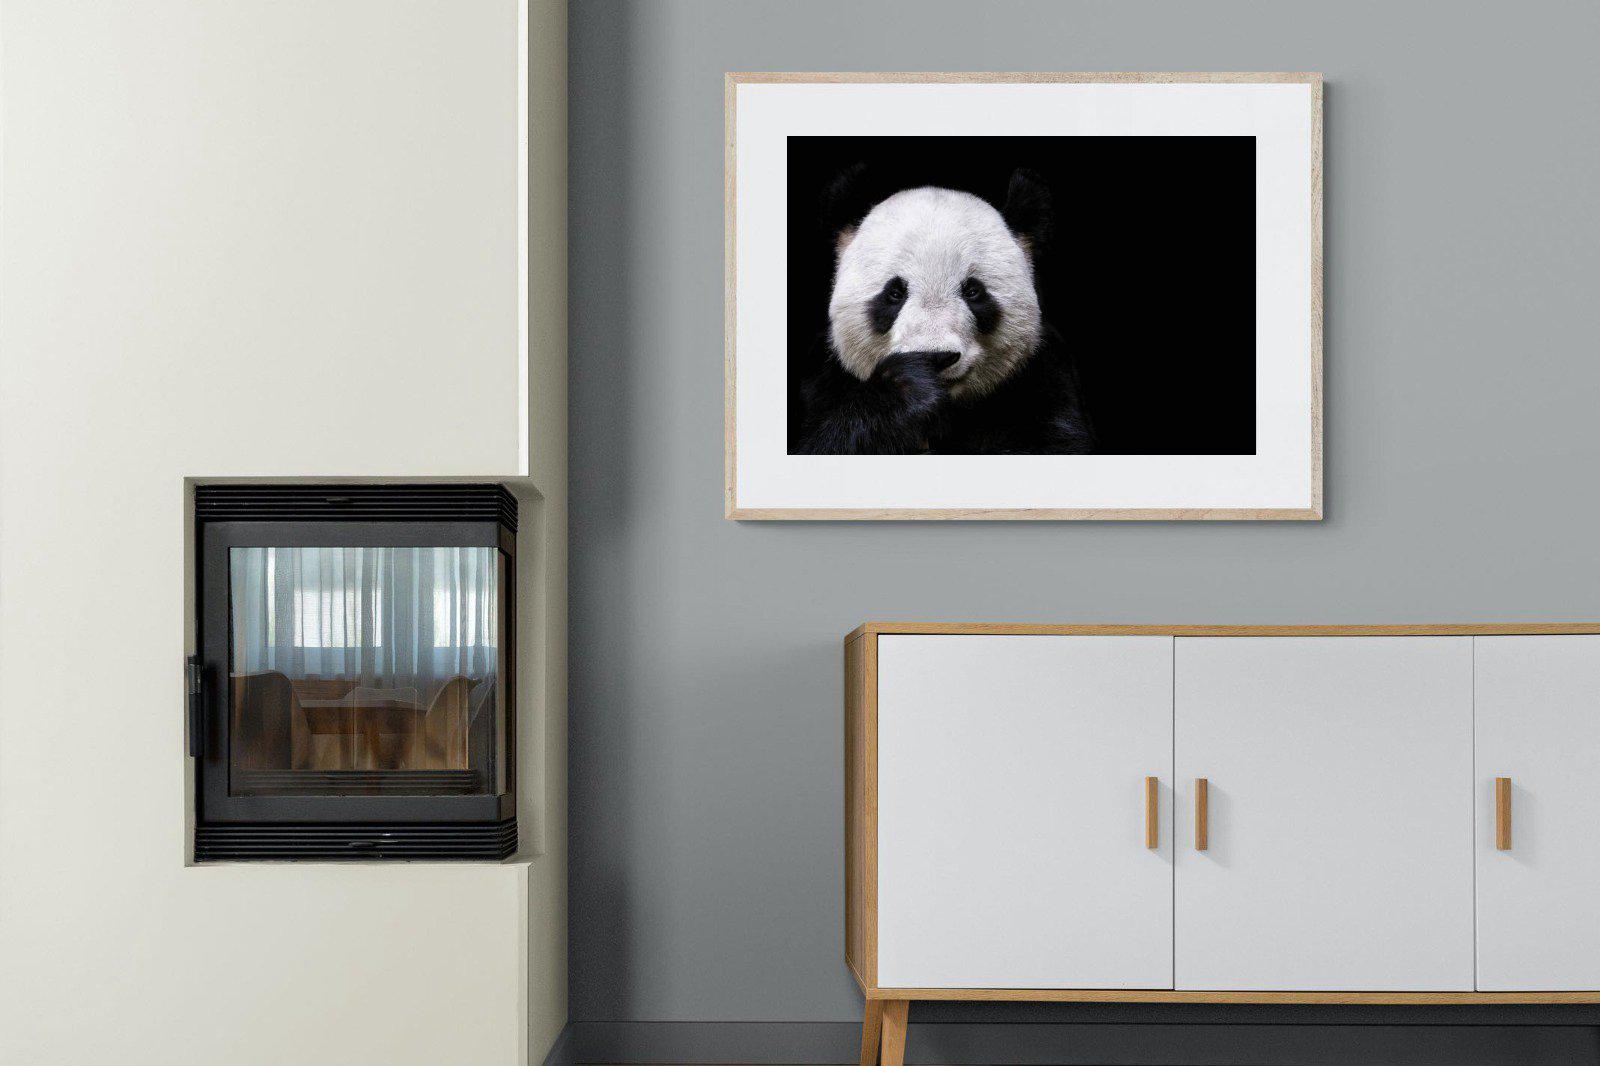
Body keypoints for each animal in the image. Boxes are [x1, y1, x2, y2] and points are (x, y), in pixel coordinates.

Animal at [797, 168, 1096, 455]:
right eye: (895, 293)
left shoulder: (1044, 377)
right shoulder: (822, 381)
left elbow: (1053, 443)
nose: (936, 356)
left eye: (973, 291)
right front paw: (907, 389)